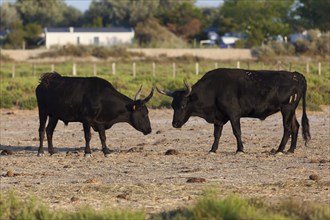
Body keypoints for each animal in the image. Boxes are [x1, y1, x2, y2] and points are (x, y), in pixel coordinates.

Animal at [159, 68, 310, 154]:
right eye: (173, 105)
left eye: (183, 105)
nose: (175, 124)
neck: (214, 88)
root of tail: (296, 75)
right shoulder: (218, 117)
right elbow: (217, 134)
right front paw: (213, 149)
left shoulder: (234, 114)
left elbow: (237, 132)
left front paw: (240, 149)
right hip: (291, 110)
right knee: (295, 126)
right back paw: (290, 149)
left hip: (287, 108)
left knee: (287, 128)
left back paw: (279, 150)